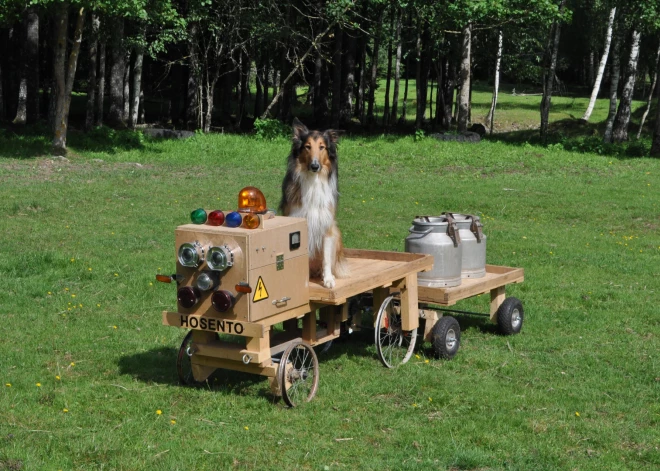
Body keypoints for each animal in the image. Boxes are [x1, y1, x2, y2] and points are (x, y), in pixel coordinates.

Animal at [280, 119, 350, 288]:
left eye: (322, 147)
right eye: (308, 146)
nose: (315, 166)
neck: (313, 181)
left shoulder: (326, 225)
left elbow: (326, 258)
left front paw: (328, 279)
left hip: (336, 232)